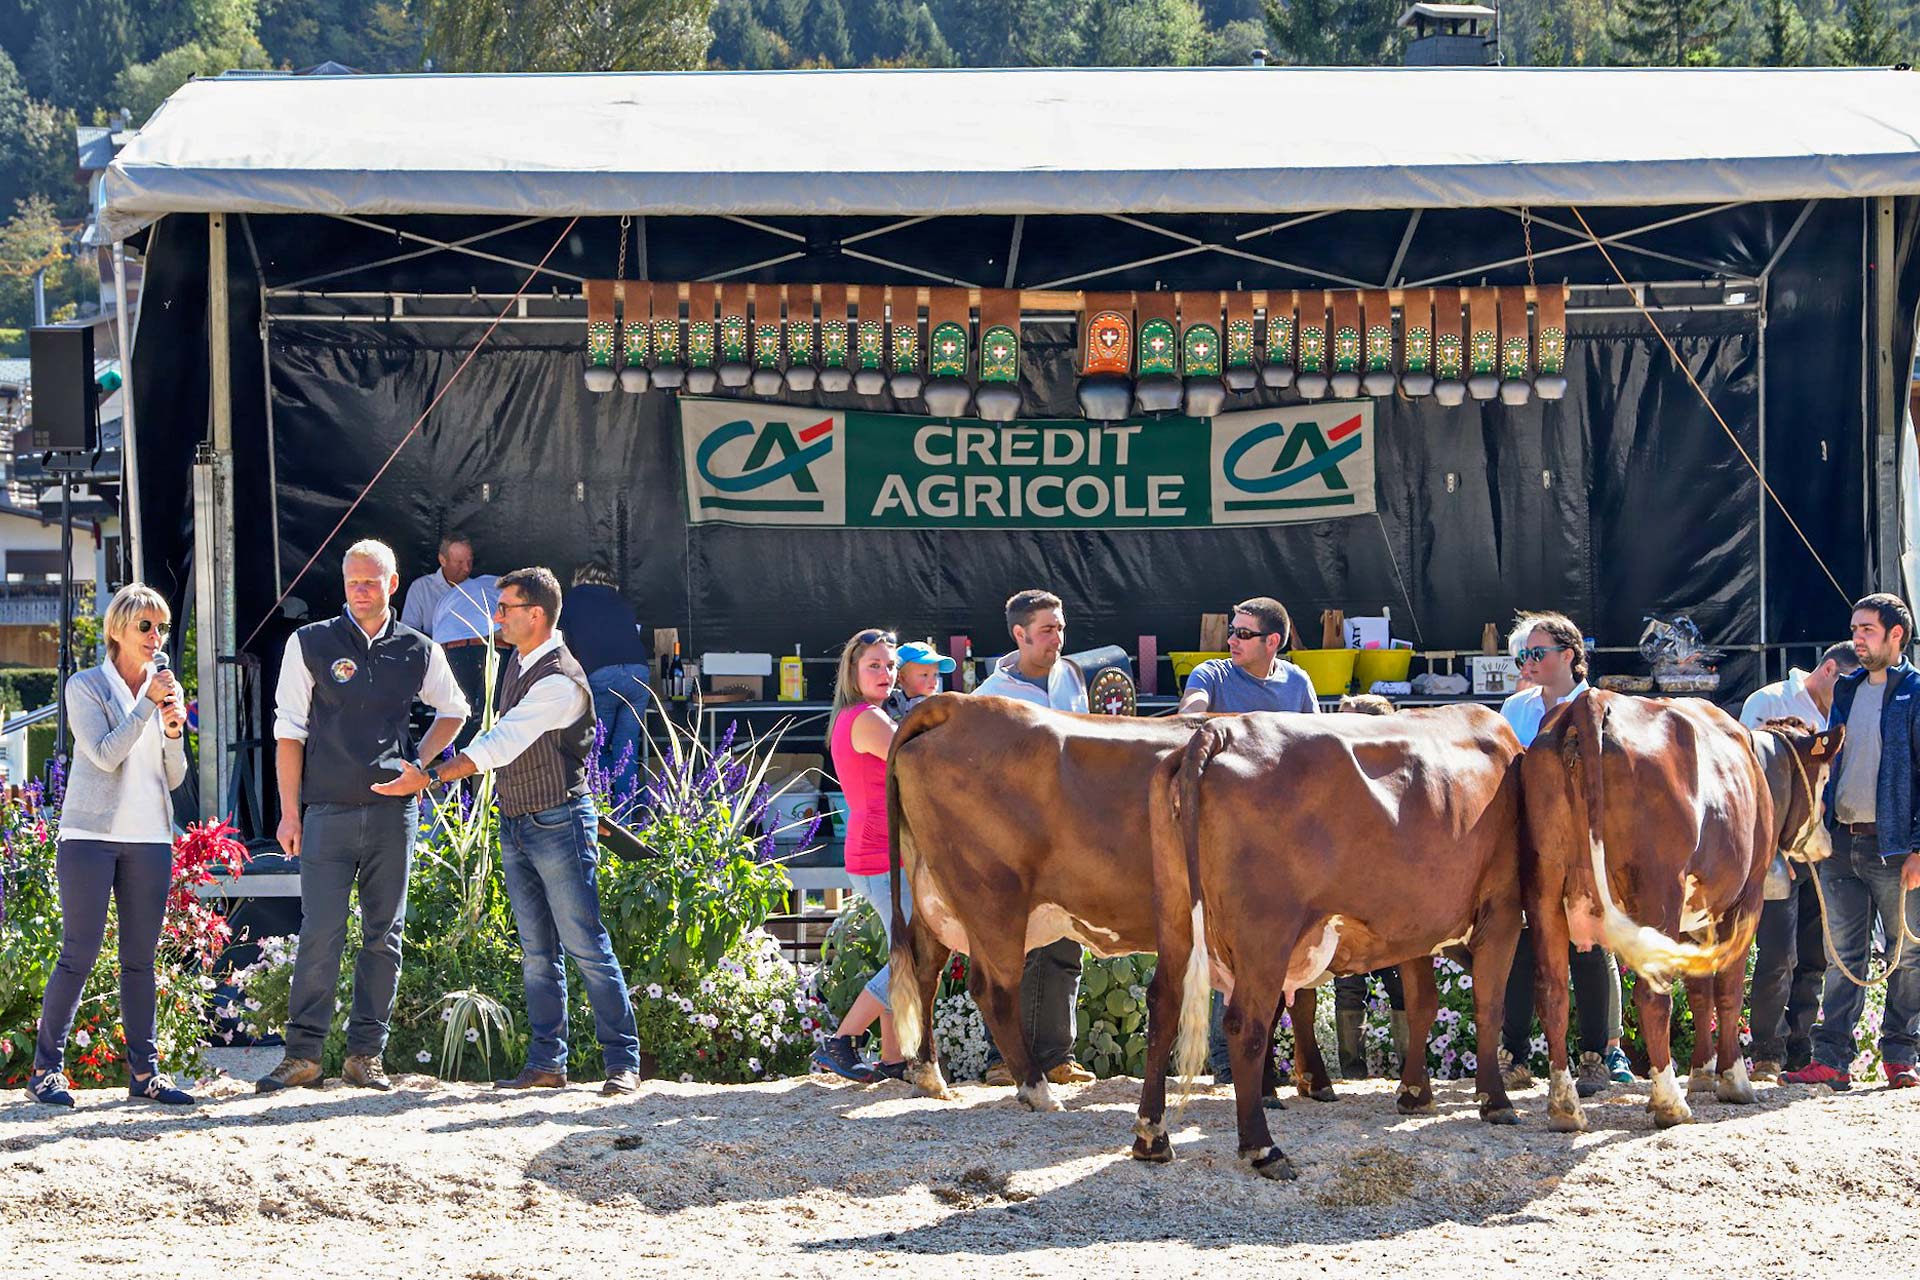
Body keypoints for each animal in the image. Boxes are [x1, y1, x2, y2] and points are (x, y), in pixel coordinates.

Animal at [887, 690, 1336, 1113]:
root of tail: (960, 703)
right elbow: (1283, 1002)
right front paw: (1276, 1088)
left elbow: (1302, 999)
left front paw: (1311, 1081)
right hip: (992, 895)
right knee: (993, 990)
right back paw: (1038, 1090)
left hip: (933, 891)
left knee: (925, 969)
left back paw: (929, 1076)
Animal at [1136, 702, 1528, 1182]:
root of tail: (1219, 731)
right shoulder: (1502, 907)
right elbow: (1490, 1006)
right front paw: (1496, 1102)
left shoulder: (1414, 925)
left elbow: (1422, 1004)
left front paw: (1414, 1093)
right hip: (1265, 932)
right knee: (1246, 1025)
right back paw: (1264, 1149)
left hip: (1175, 917)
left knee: (1163, 1005)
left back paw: (1152, 1139)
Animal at [1520, 690, 1835, 1128]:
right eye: (1823, 779)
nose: (1825, 844)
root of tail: (1592, 700)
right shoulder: (1747, 901)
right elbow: (1728, 989)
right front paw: (1732, 1080)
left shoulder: (1693, 917)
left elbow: (1700, 990)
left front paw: (1702, 1072)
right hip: (1659, 892)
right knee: (1653, 996)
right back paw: (1669, 1102)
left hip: (1544, 890)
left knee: (1552, 993)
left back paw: (1566, 1108)